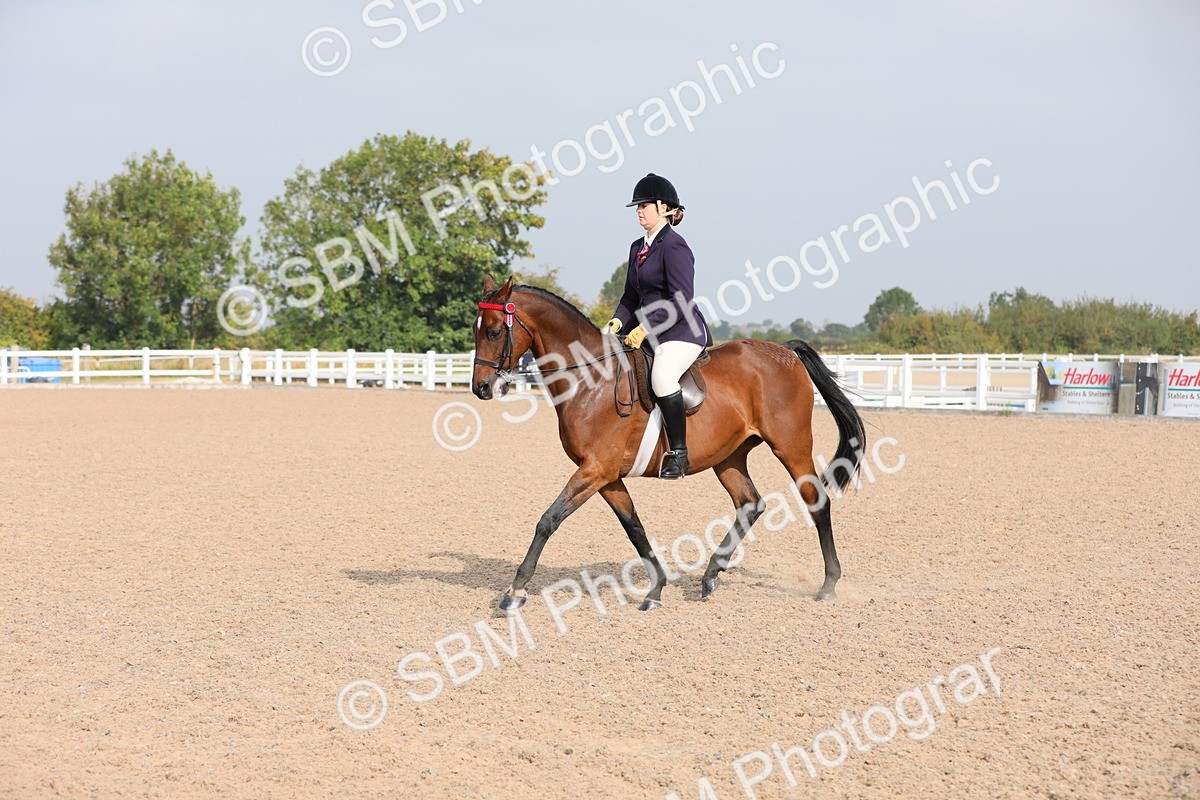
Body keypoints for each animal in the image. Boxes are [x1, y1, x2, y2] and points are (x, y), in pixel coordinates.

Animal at [471, 276, 866, 612]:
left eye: (493, 331)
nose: (481, 388)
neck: (590, 381)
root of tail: (784, 351)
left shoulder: (595, 470)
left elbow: (548, 520)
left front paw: (515, 591)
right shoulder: (606, 475)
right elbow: (633, 526)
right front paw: (656, 589)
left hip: (790, 446)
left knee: (816, 500)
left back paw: (828, 585)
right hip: (729, 457)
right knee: (750, 503)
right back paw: (710, 576)